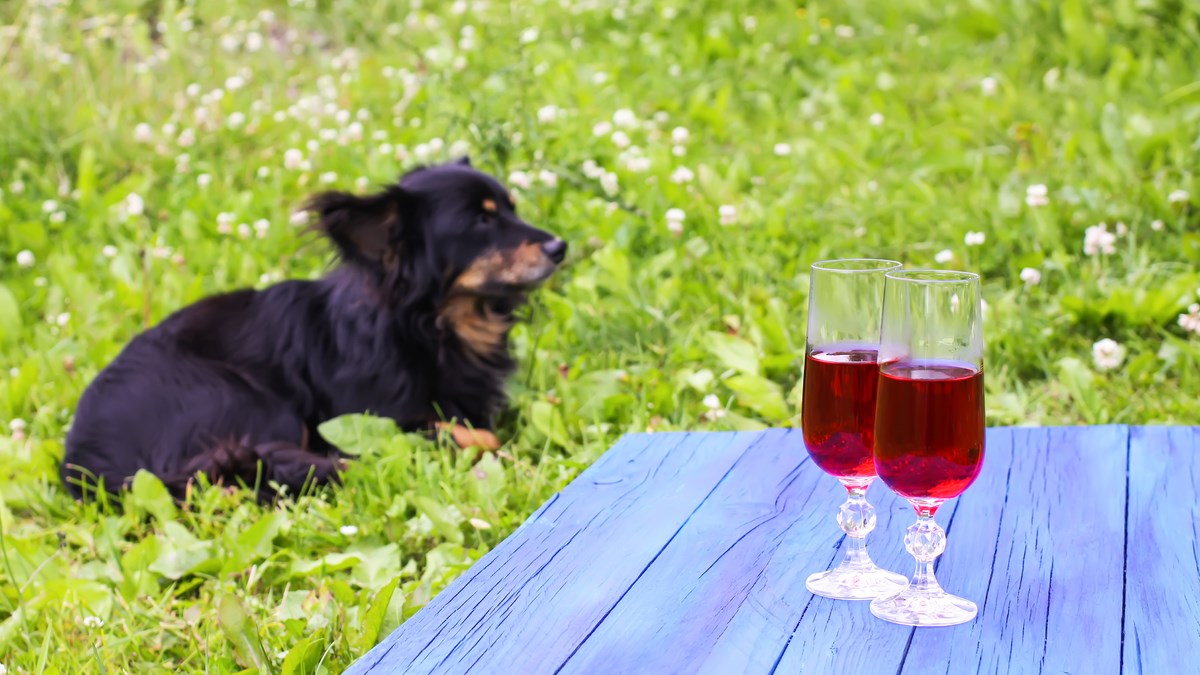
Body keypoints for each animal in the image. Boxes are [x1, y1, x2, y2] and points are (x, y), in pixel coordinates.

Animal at [63, 154, 568, 497]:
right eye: (481, 221)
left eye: (512, 208)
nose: (560, 246)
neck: (432, 328)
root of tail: (85, 465)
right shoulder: (377, 417)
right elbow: (473, 432)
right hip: (254, 401)